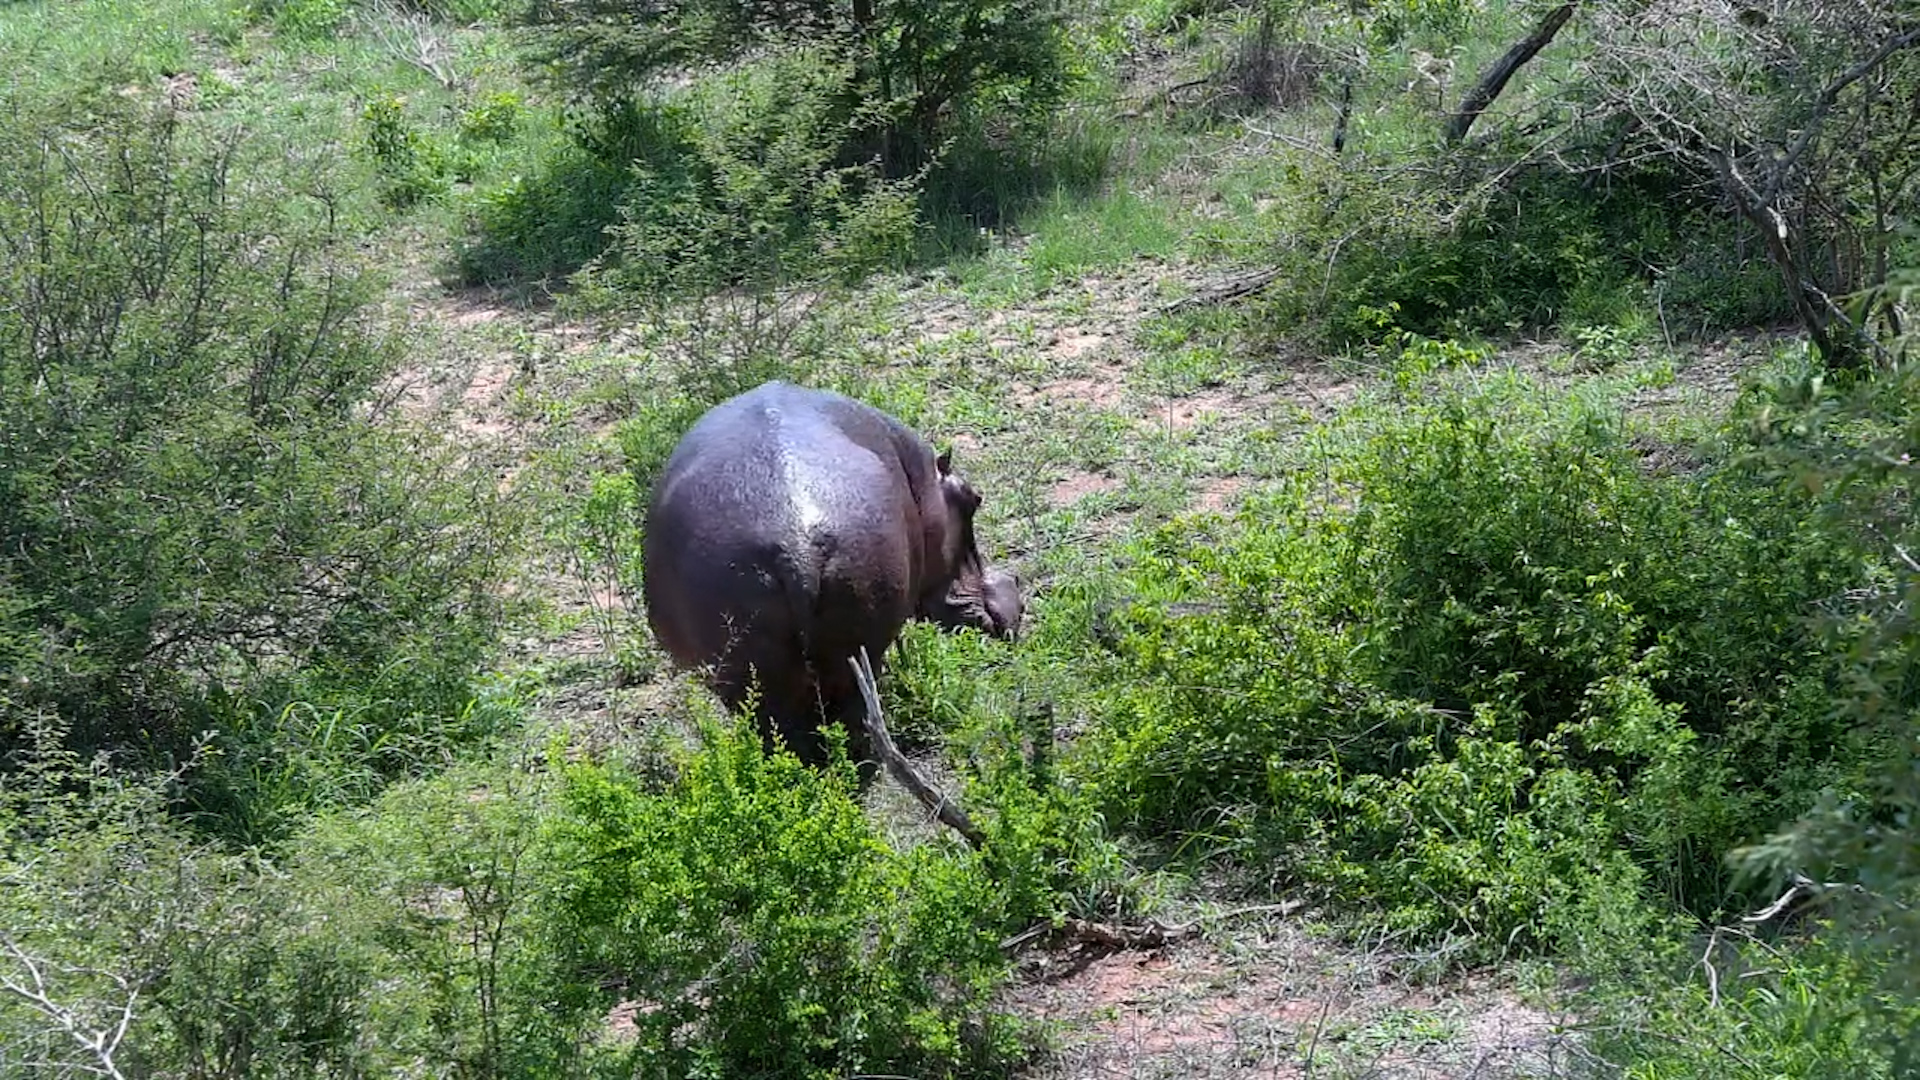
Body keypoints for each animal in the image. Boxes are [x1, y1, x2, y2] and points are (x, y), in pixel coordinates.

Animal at [641, 381, 1023, 778]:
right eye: (974, 499)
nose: (1015, 597)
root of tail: (794, 546)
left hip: (745, 666)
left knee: (780, 729)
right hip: (857, 648)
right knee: (855, 716)